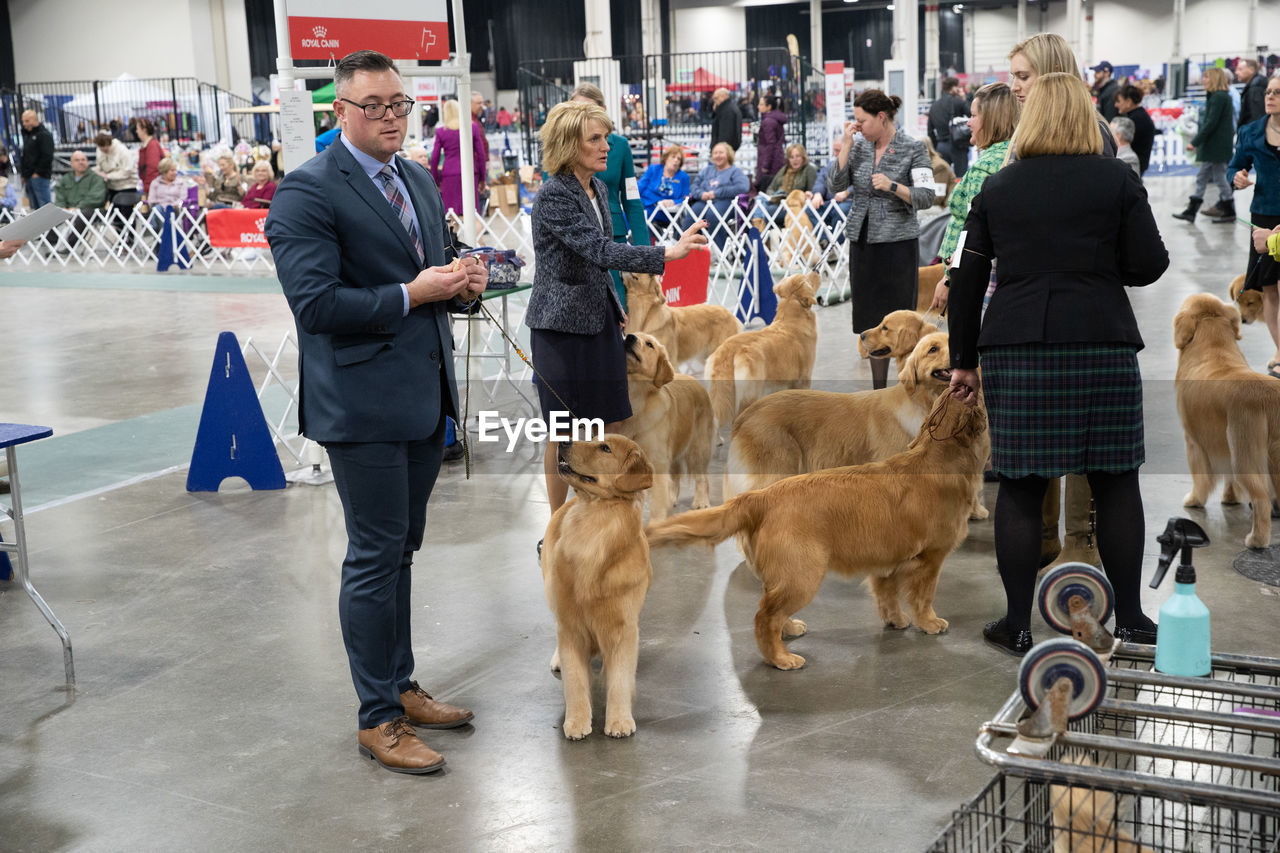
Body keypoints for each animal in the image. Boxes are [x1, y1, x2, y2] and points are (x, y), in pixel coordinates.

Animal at [542, 435, 655, 732]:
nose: (564, 441)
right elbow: (575, 679)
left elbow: (620, 679)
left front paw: (619, 720)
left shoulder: (624, 628)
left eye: (605, 448)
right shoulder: (571, 624)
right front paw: (577, 720)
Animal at [622, 330, 716, 517]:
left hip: (698, 447)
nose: (629, 337)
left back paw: (701, 502)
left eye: (649, 344)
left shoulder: (657, 460)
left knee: (702, 477)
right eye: (631, 334)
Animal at [650, 394, 988, 671]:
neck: (937, 458)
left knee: (771, 606)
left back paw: (788, 630)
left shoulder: (887, 559)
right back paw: (781, 658)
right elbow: (923, 596)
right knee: (764, 617)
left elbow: (887, 594)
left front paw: (896, 620)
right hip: (804, 574)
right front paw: (929, 622)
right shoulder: (931, 557)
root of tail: (761, 497)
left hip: (787, 575)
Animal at [701, 272, 819, 427]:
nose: (816, 271)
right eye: (807, 278)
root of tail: (727, 352)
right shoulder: (804, 378)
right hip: (751, 393)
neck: (792, 319)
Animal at [1172, 292, 1280, 545]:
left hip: (1245, 454)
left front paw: (1194, 500)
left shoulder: (1194, 442)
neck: (1214, 346)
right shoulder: (1223, 444)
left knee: (1261, 497)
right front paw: (1230, 498)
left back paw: (1256, 540)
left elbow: (1200, 477)